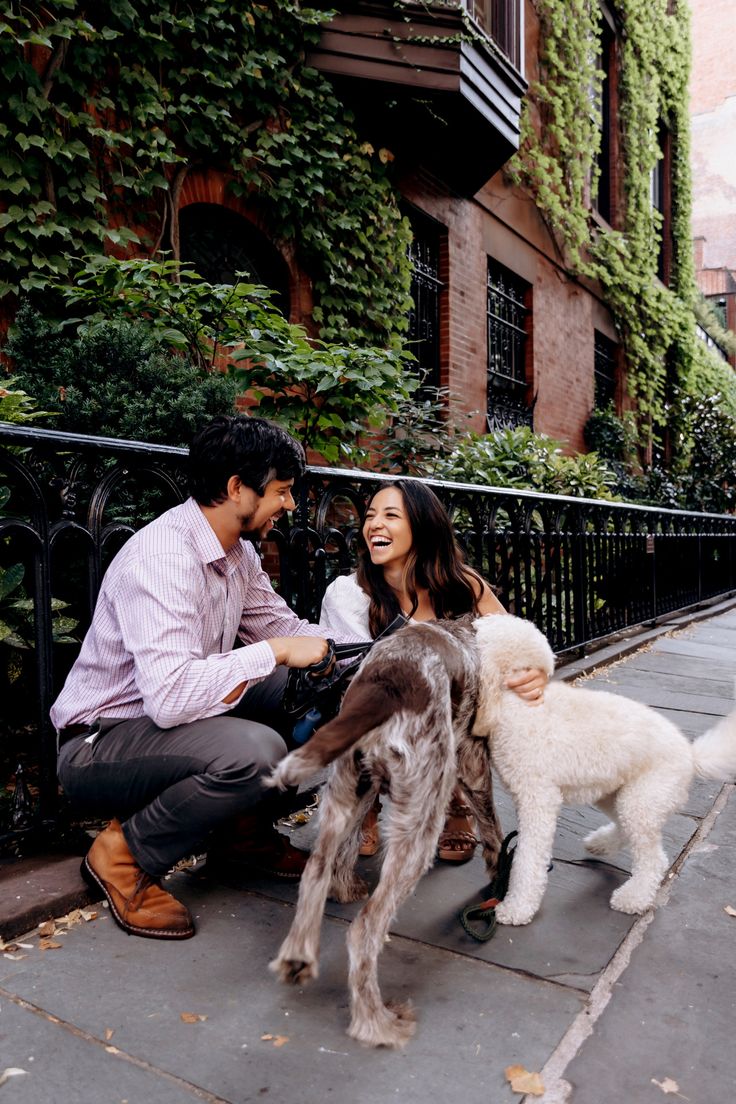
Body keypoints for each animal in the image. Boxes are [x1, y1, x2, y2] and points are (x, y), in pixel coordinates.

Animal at [472, 613, 736, 922]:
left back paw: (633, 898)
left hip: (642, 799)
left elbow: (528, 858)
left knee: (653, 858)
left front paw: (516, 908)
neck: (518, 704)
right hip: (614, 795)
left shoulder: (538, 800)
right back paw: (600, 843)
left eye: (475, 631)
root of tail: (690, 754)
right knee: (625, 829)